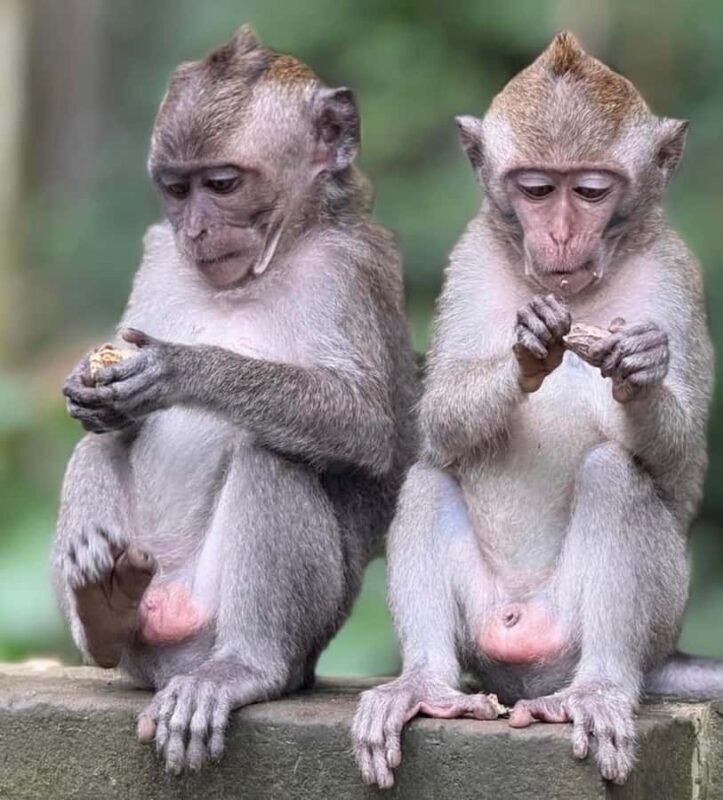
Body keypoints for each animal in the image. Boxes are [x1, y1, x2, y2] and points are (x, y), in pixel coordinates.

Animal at [53, 26, 417, 773]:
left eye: (221, 184)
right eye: (175, 189)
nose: (195, 230)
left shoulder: (346, 271)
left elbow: (364, 425)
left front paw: (179, 367)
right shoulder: (157, 252)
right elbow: (105, 420)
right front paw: (87, 386)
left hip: (298, 625)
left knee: (273, 456)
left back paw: (245, 667)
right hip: (146, 609)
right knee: (98, 448)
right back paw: (104, 609)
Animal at [352, 32, 722, 787]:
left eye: (589, 190)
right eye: (536, 189)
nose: (557, 236)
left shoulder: (677, 270)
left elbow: (682, 471)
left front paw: (641, 370)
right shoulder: (469, 258)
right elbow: (438, 422)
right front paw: (527, 348)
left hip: (649, 618)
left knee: (614, 475)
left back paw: (599, 688)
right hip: (485, 628)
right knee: (428, 476)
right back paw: (423, 684)